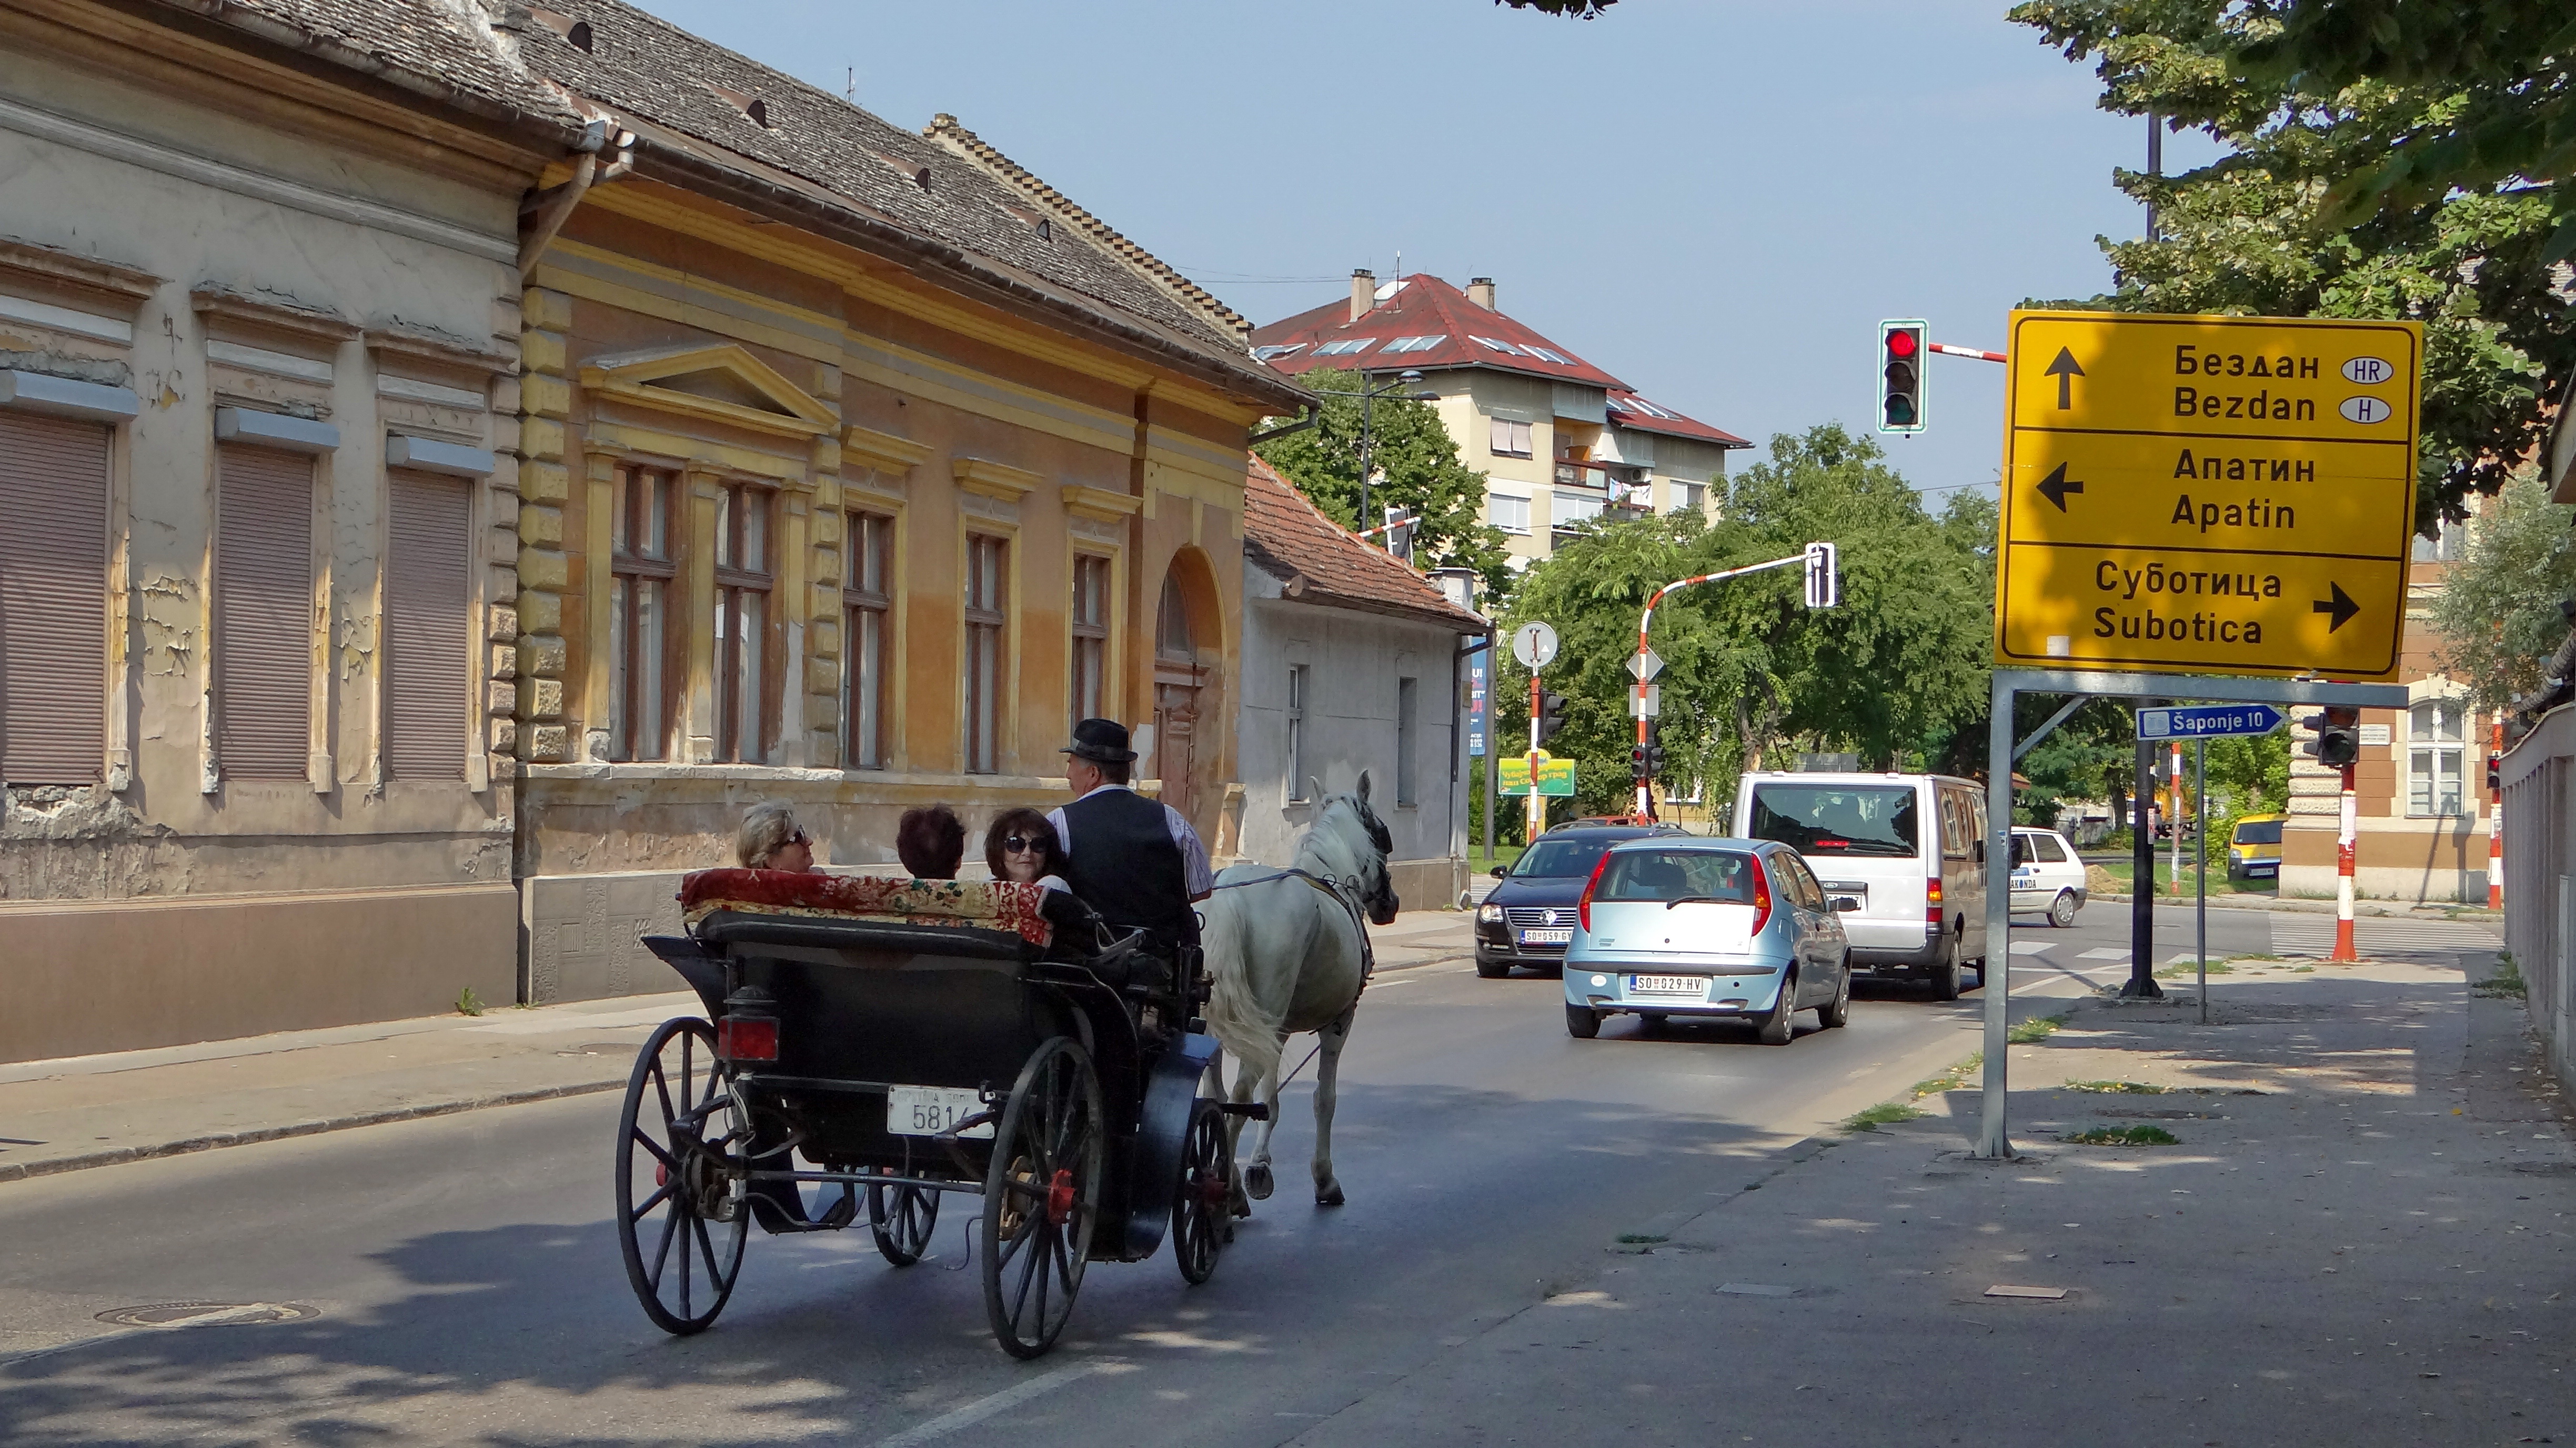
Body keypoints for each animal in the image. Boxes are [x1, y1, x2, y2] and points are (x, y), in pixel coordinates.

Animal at [1195, 773, 1401, 1200]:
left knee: (1216, 1091)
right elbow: (1324, 1099)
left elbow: (1270, 1101)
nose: (1390, 904)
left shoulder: (1279, 1030)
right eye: (1381, 836)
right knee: (1239, 1095)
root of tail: (1230, 894)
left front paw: (1260, 1165)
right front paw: (1324, 1177)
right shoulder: (1339, 1023)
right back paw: (1230, 1189)